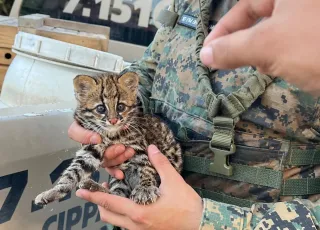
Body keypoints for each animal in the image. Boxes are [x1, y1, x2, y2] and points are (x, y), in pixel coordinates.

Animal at [35, 73, 182, 206]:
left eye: (121, 107)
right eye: (101, 108)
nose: (113, 120)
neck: (112, 134)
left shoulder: (140, 146)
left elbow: (146, 167)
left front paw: (145, 188)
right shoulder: (92, 148)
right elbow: (73, 171)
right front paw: (53, 191)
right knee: (119, 195)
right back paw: (94, 187)